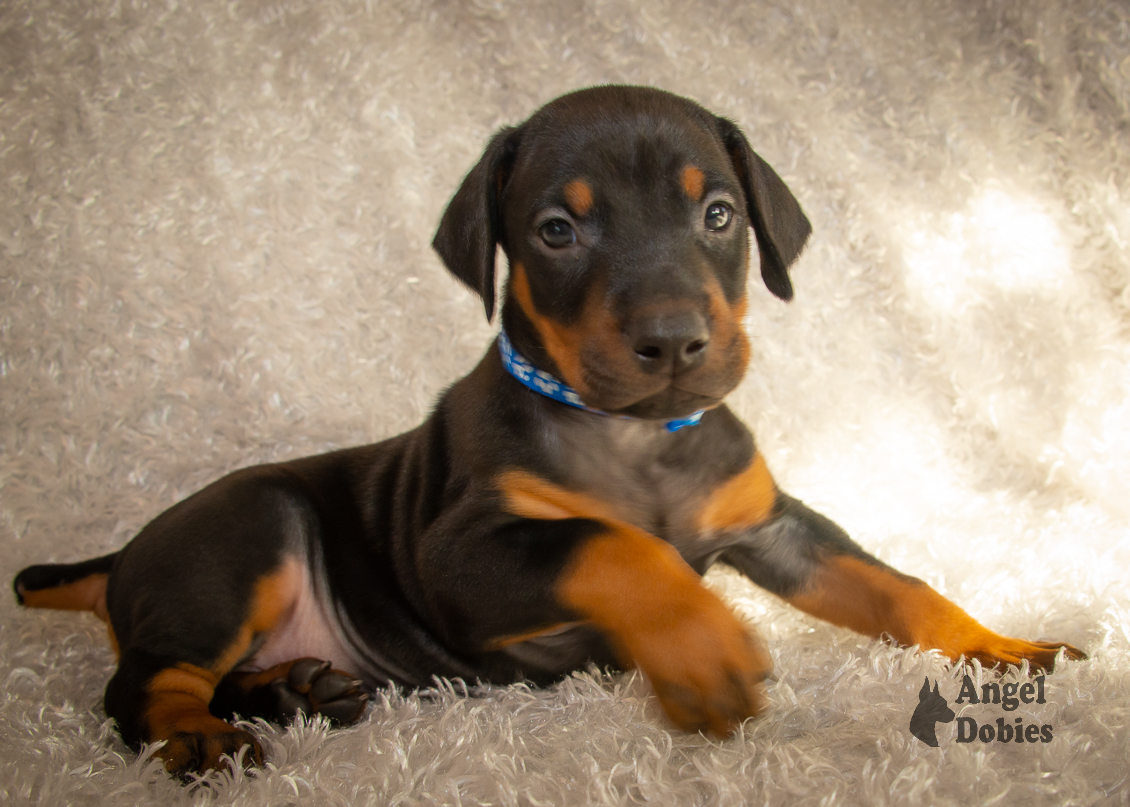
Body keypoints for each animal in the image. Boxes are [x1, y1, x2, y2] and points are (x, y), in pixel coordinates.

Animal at [13, 86, 1080, 773]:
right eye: (557, 232)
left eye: (719, 214)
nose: (674, 340)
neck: (637, 436)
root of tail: (122, 554)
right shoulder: (462, 554)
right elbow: (610, 543)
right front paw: (701, 645)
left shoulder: (771, 524)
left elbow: (895, 586)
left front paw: (999, 646)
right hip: (245, 534)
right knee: (140, 683)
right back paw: (195, 733)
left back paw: (299, 690)